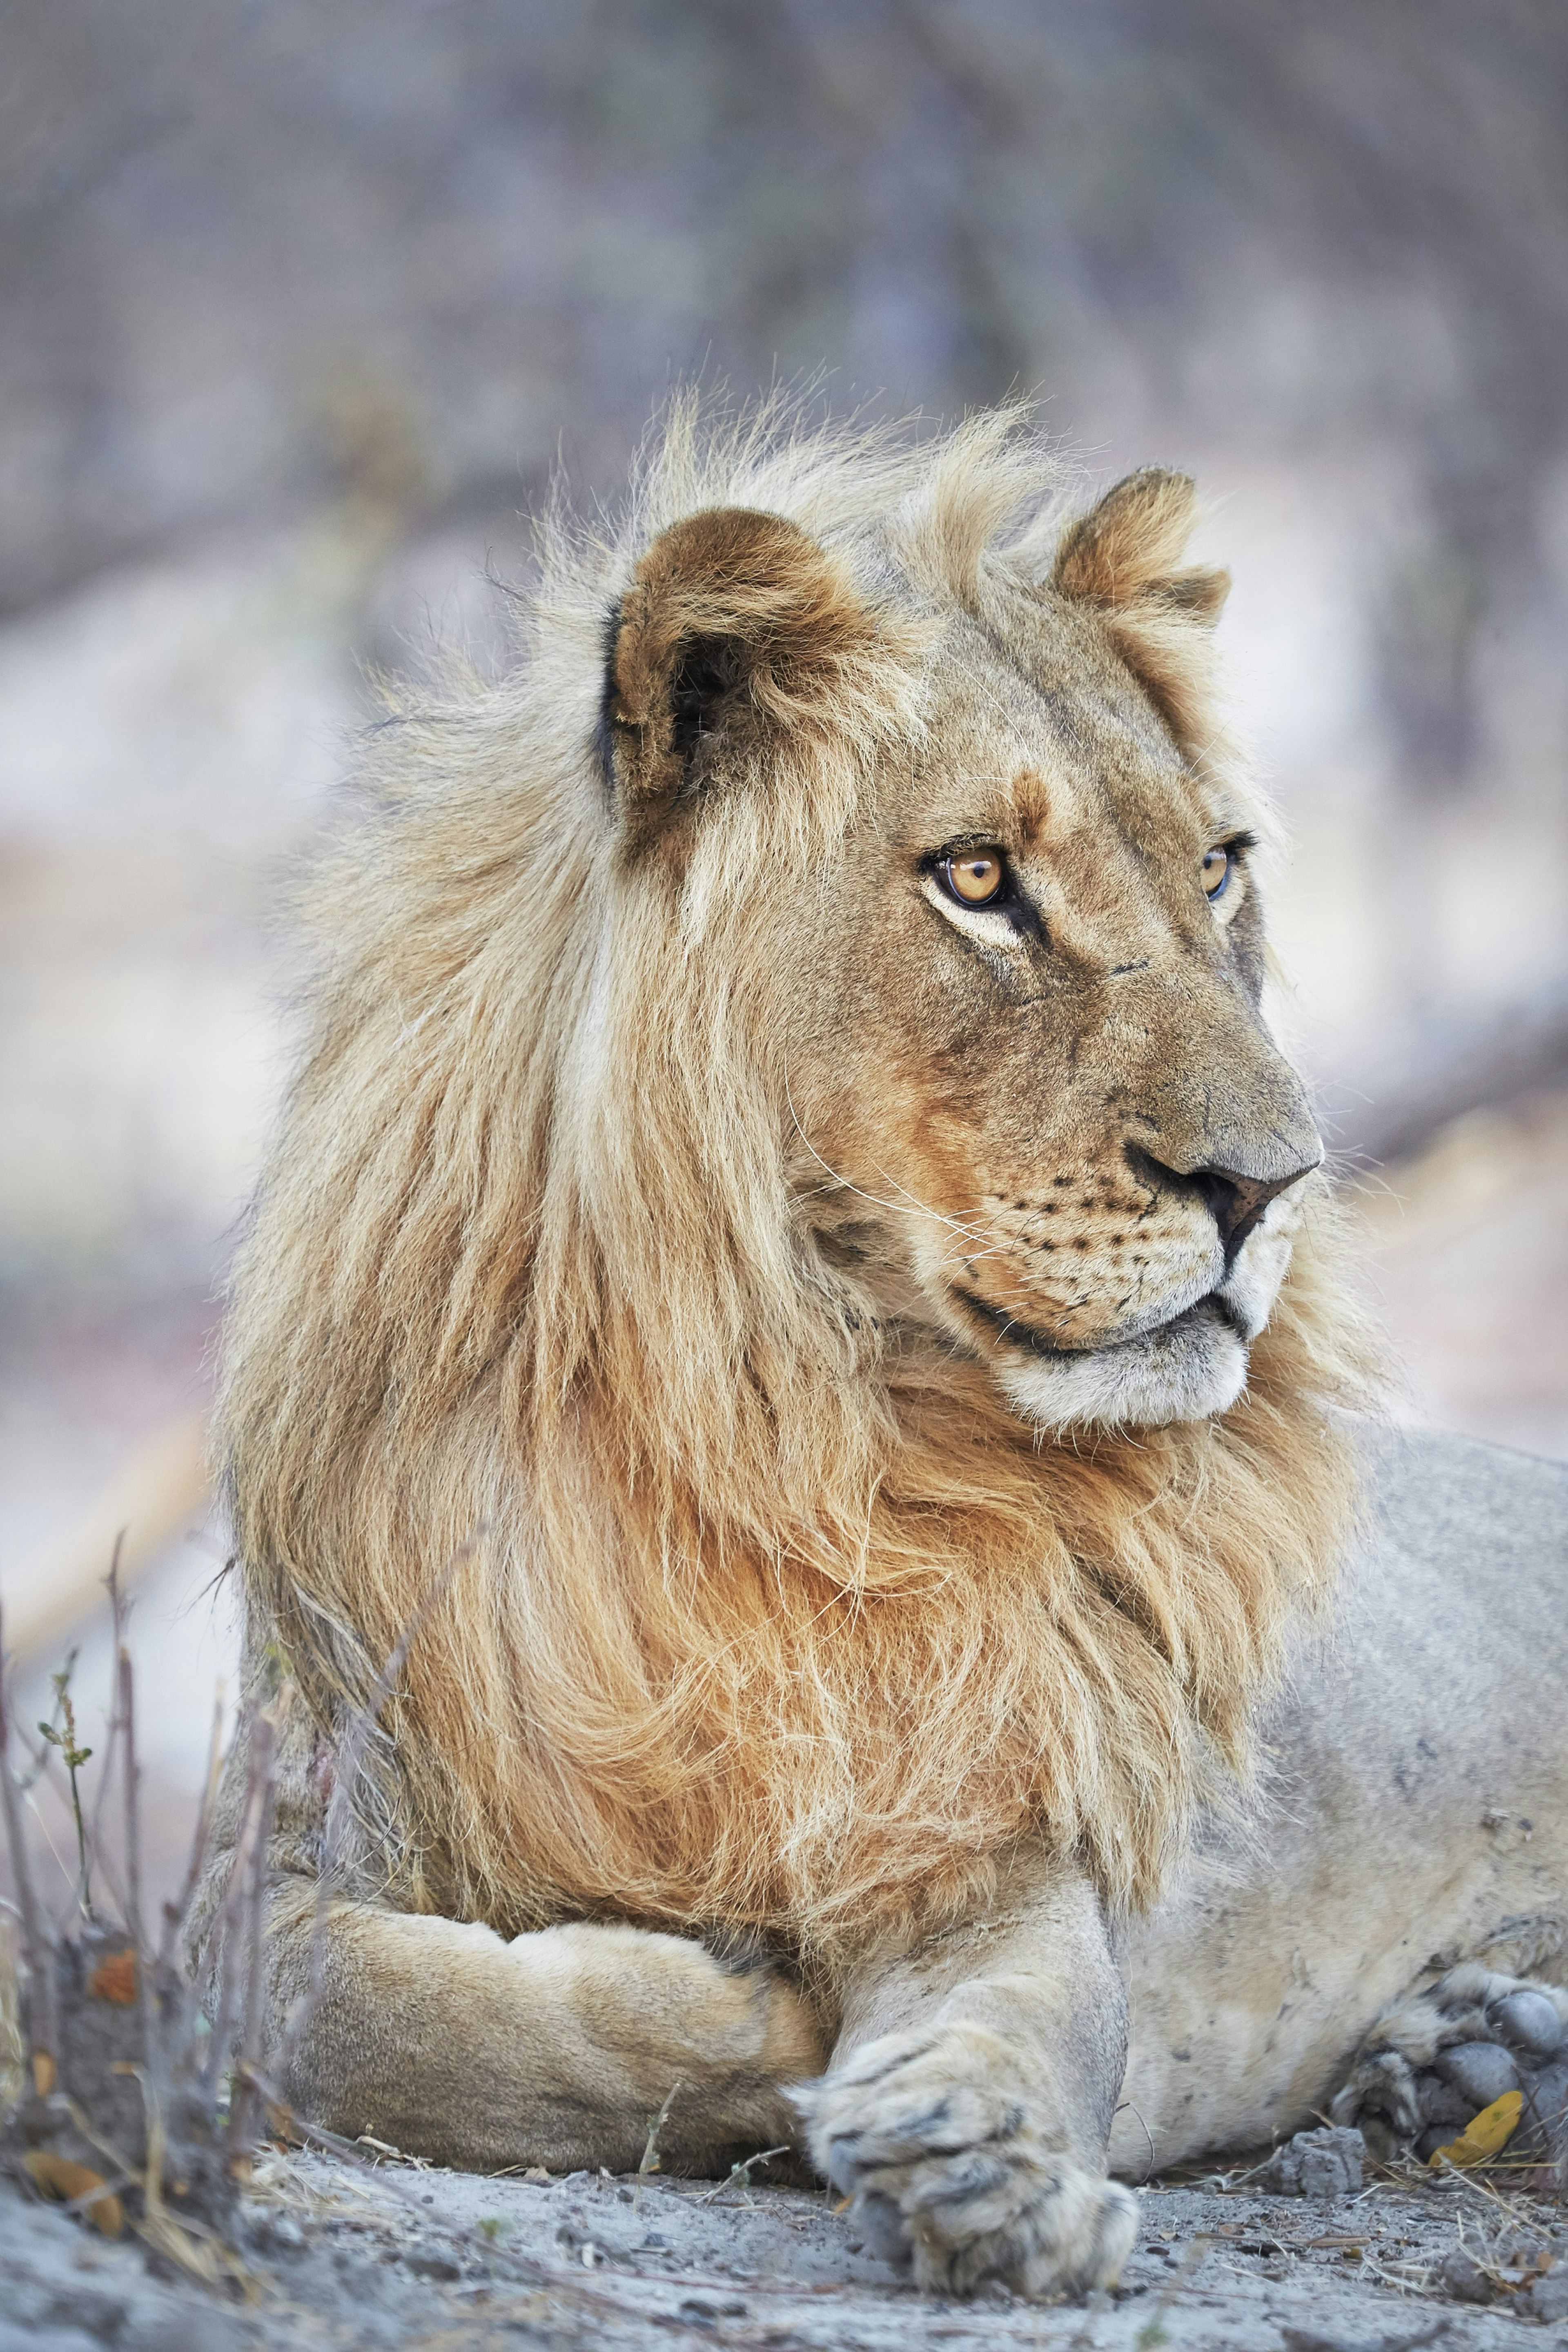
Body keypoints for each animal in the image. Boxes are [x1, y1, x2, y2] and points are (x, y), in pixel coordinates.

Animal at [196, 400, 1568, 2295]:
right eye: (981, 881)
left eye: (1218, 868)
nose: (1272, 1182)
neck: (786, 1416)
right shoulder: (297, 1824)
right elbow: (318, 1997)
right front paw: (737, 2005)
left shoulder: (997, 1829)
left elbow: (1029, 2004)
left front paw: (974, 2156)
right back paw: (1466, 2060)